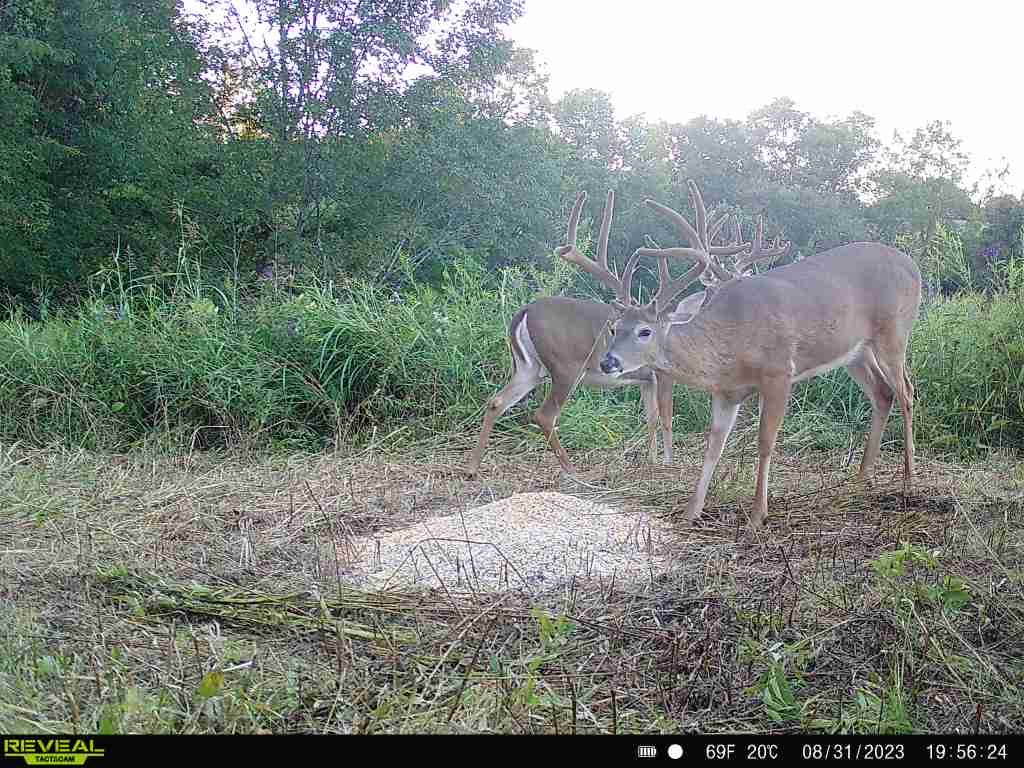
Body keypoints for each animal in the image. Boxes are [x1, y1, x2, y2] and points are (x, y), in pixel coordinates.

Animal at [464, 189, 750, 477]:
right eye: (615, 329)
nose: (608, 361)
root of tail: (525, 311)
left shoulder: (645, 379)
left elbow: (651, 417)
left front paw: (652, 460)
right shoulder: (663, 374)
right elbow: (666, 417)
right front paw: (668, 463)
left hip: (529, 367)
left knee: (497, 401)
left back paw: (473, 468)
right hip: (565, 367)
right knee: (544, 415)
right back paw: (572, 470)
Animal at [590, 179, 921, 529]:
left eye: (645, 331)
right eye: (614, 328)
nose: (608, 361)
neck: (731, 345)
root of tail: (913, 266)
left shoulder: (779, 371)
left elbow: (765, 441)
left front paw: (757, 515)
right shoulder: (726, 392)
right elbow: (713, 445)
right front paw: (691, 511)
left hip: (894, 332)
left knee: (906, 392)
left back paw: (909, 480)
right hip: (855, 353)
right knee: (883, 393)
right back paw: (861, 478)